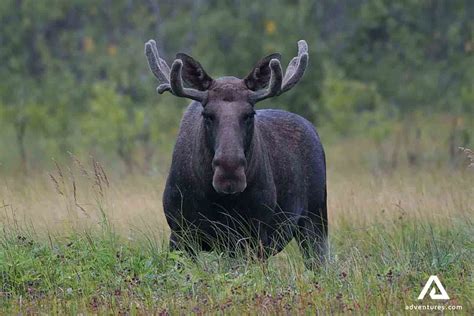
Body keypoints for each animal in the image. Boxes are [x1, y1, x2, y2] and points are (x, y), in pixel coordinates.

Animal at [146, 39, 328, 266]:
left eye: (249, 114)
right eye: (207, 115)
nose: (229, 173)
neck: (217, 199)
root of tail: (312, 129)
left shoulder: (251, 236)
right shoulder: (180, 234)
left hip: (315, 220)